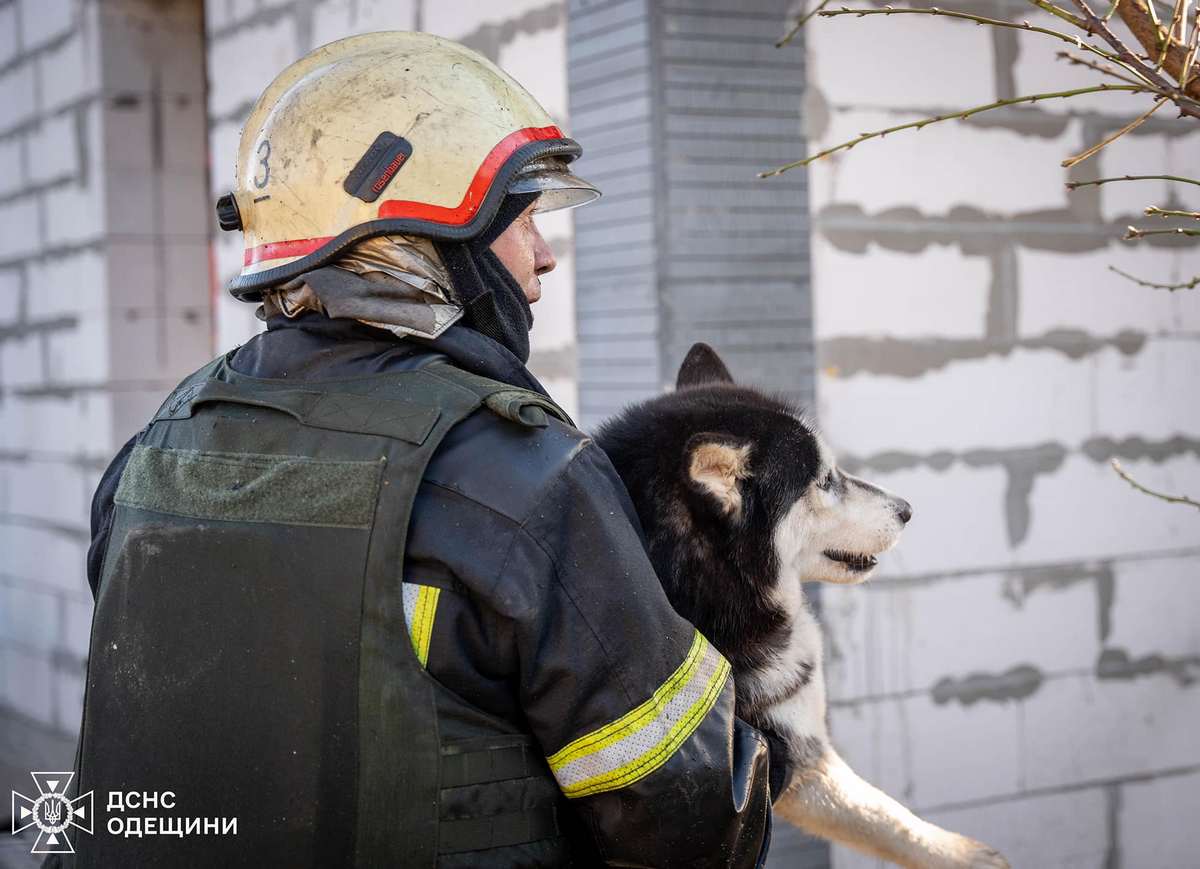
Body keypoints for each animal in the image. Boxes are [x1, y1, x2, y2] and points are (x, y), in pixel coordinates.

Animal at [595, 345, 1008, 869]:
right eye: (826, 480)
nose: (907, 509)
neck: (711, 591)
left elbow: (872, 811)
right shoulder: (775, 755)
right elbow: (879, 811)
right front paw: (960, 854)